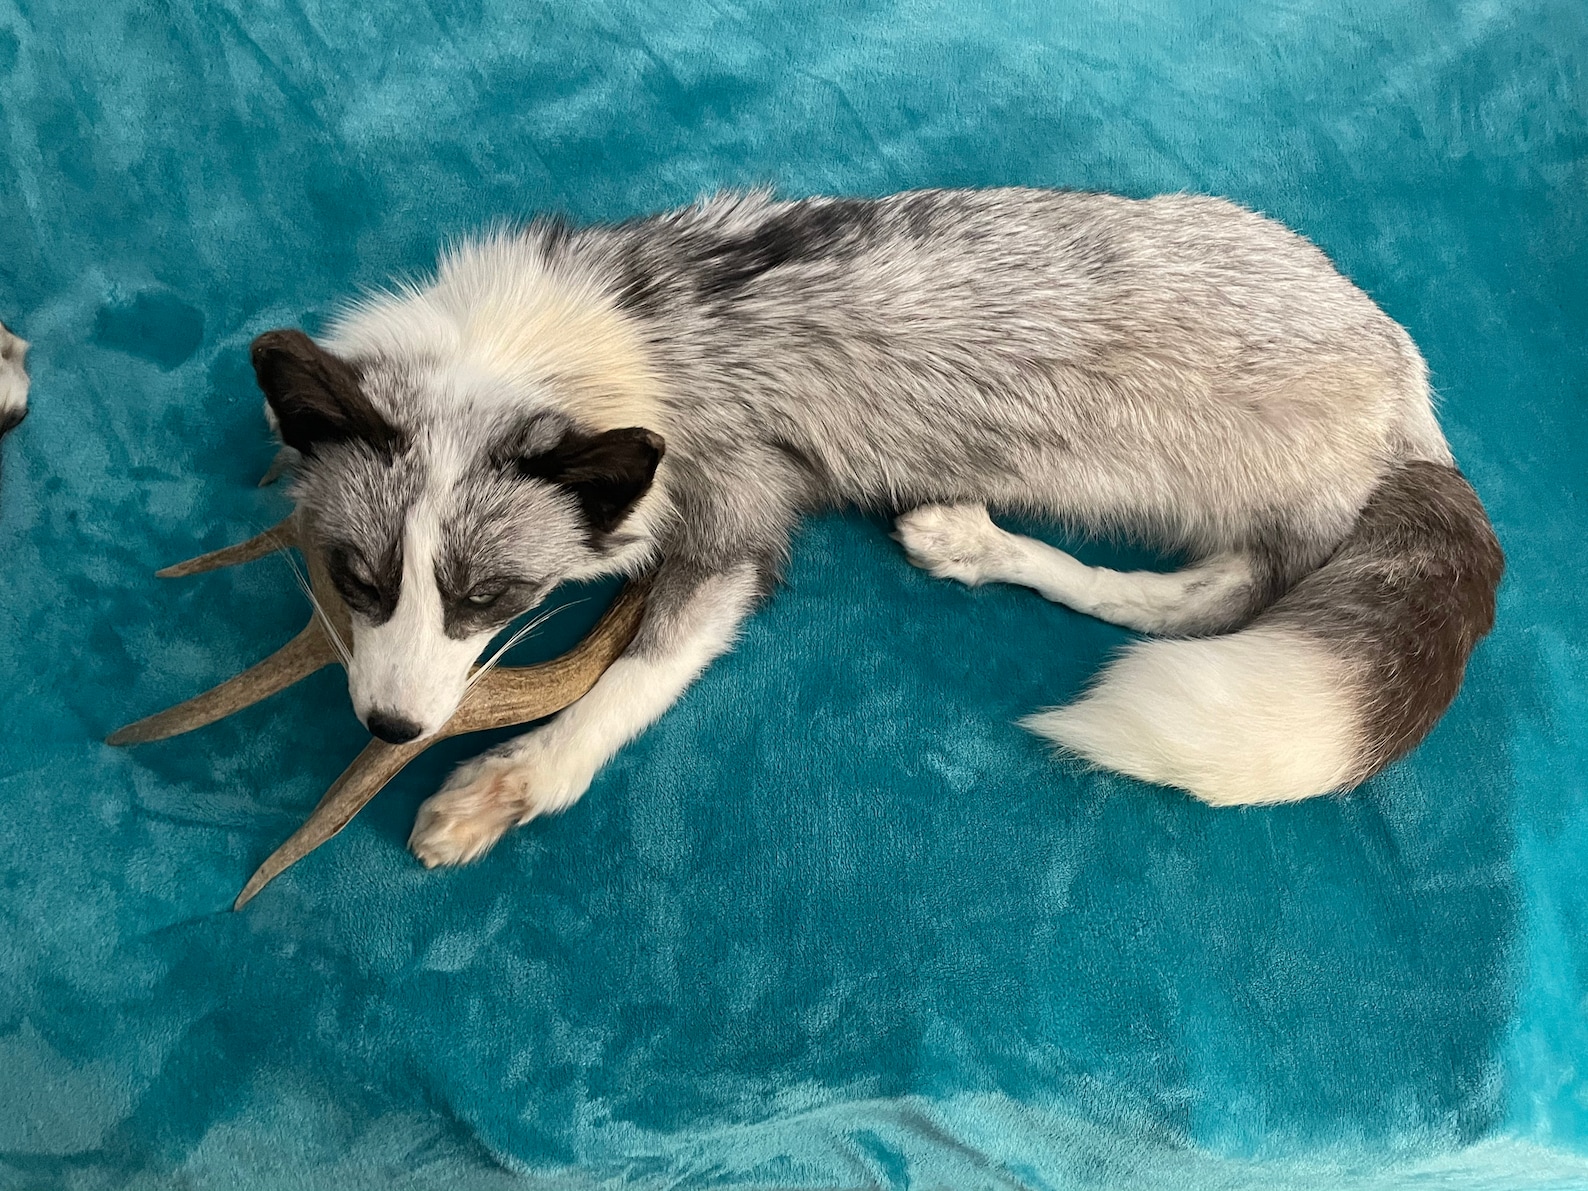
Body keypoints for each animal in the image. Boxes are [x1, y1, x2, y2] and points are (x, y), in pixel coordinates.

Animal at [248, 187, 1502, 868]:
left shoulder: (738, 511)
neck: (585, 341)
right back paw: (970, 542)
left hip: (1239, 504)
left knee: (1211, 600)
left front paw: (510, 784)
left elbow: (629, 686)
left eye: (488, 600)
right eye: (355, 579)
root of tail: (1411, 389)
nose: (391, 727)